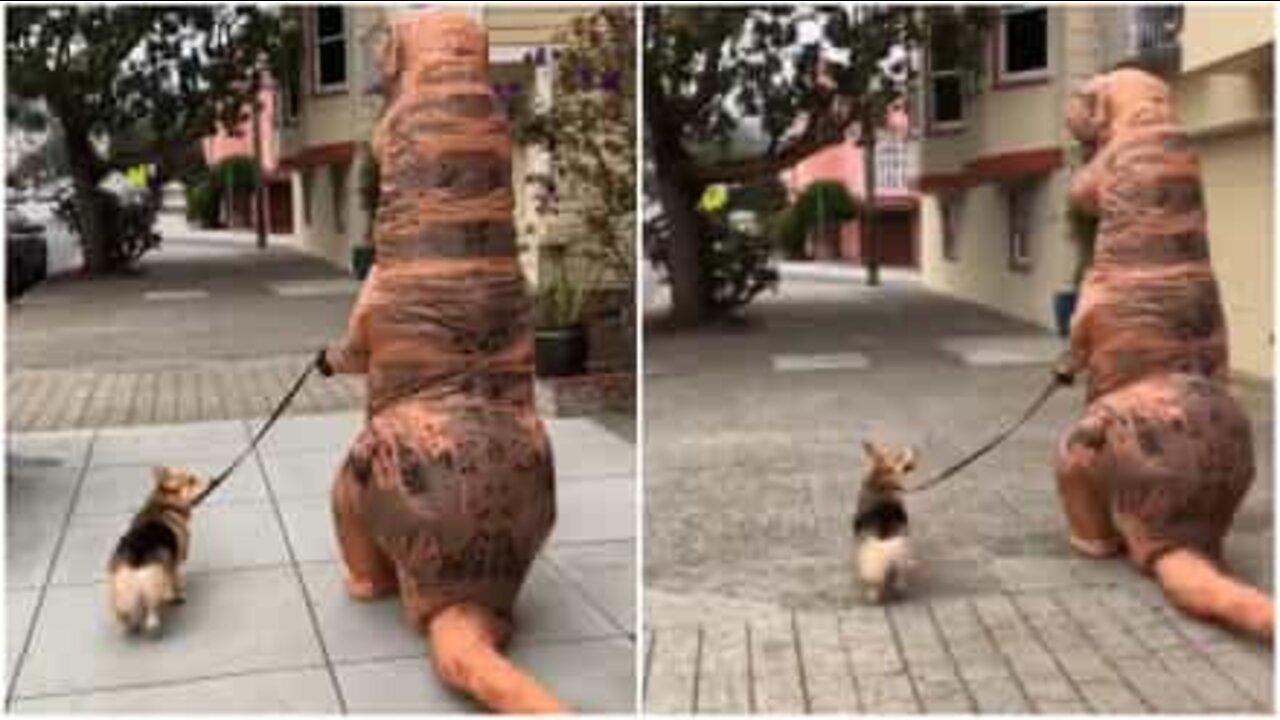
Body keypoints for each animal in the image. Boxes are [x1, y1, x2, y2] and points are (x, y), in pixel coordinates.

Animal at [106, 466, 204, 627]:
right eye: (192, 480)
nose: (213, 479)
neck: (165, 504)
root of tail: (136, 559)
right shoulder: (174, 565)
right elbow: (175, 582)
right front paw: (179, 596)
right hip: (155, 583)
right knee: (152, 608)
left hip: (120, 589)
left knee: (123, 613)